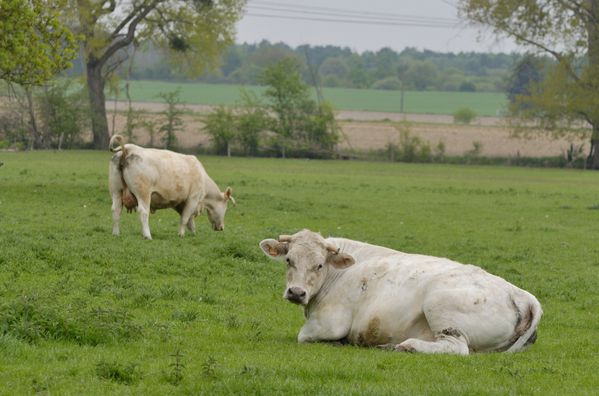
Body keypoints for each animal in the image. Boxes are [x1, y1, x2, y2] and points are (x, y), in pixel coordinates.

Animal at [260, 229, 540, 356]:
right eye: (289, 260)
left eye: (319, 265)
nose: (296, 292)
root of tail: (520, 294)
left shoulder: (328, 323)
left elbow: (303, 336)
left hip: (440, 306)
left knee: (456, 348)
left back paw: (407, 346)